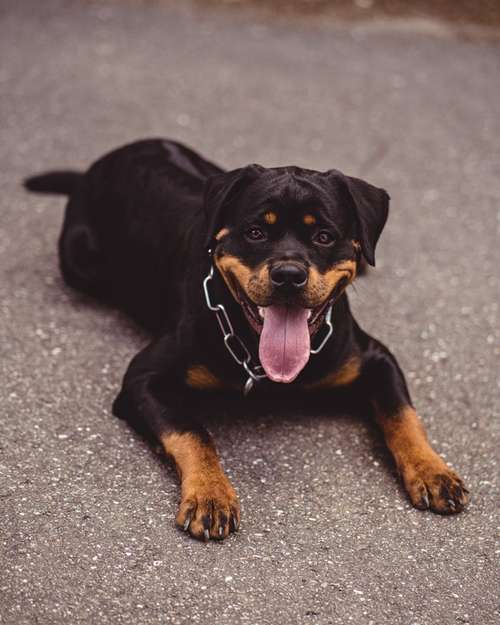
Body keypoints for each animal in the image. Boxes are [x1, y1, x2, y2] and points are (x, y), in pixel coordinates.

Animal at [24, 139, 468, 540]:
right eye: (255, 232)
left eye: (324, 236)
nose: (288, 274)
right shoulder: (143, 379)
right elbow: (192, 433)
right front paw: (210, 495)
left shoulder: (376, 358)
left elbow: (403, 415)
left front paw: (432, 470)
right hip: (79, 260)